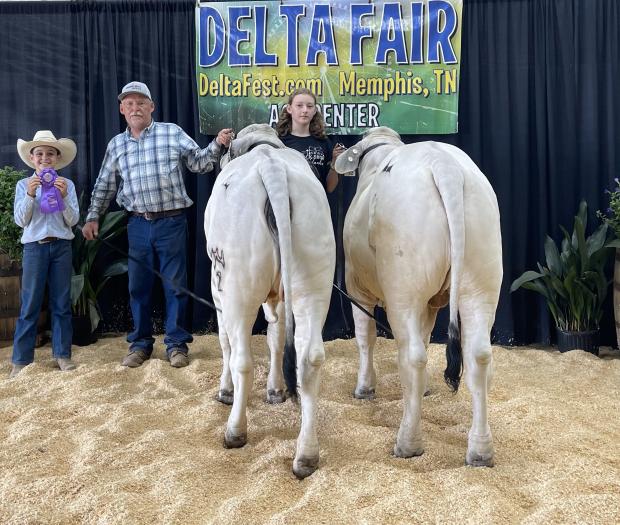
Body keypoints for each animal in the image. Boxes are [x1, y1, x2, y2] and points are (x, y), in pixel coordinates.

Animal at [334, 128, 504, 466]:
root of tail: (444, 164)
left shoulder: (355, 285)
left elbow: (365, 337)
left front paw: (364, 388)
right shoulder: (431, 303)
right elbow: (426, 336)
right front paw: (423, 390)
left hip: (404, 286)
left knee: (413, 355)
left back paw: (407, 443)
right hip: (482, 280)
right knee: (478, 355)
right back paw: (480, 450)